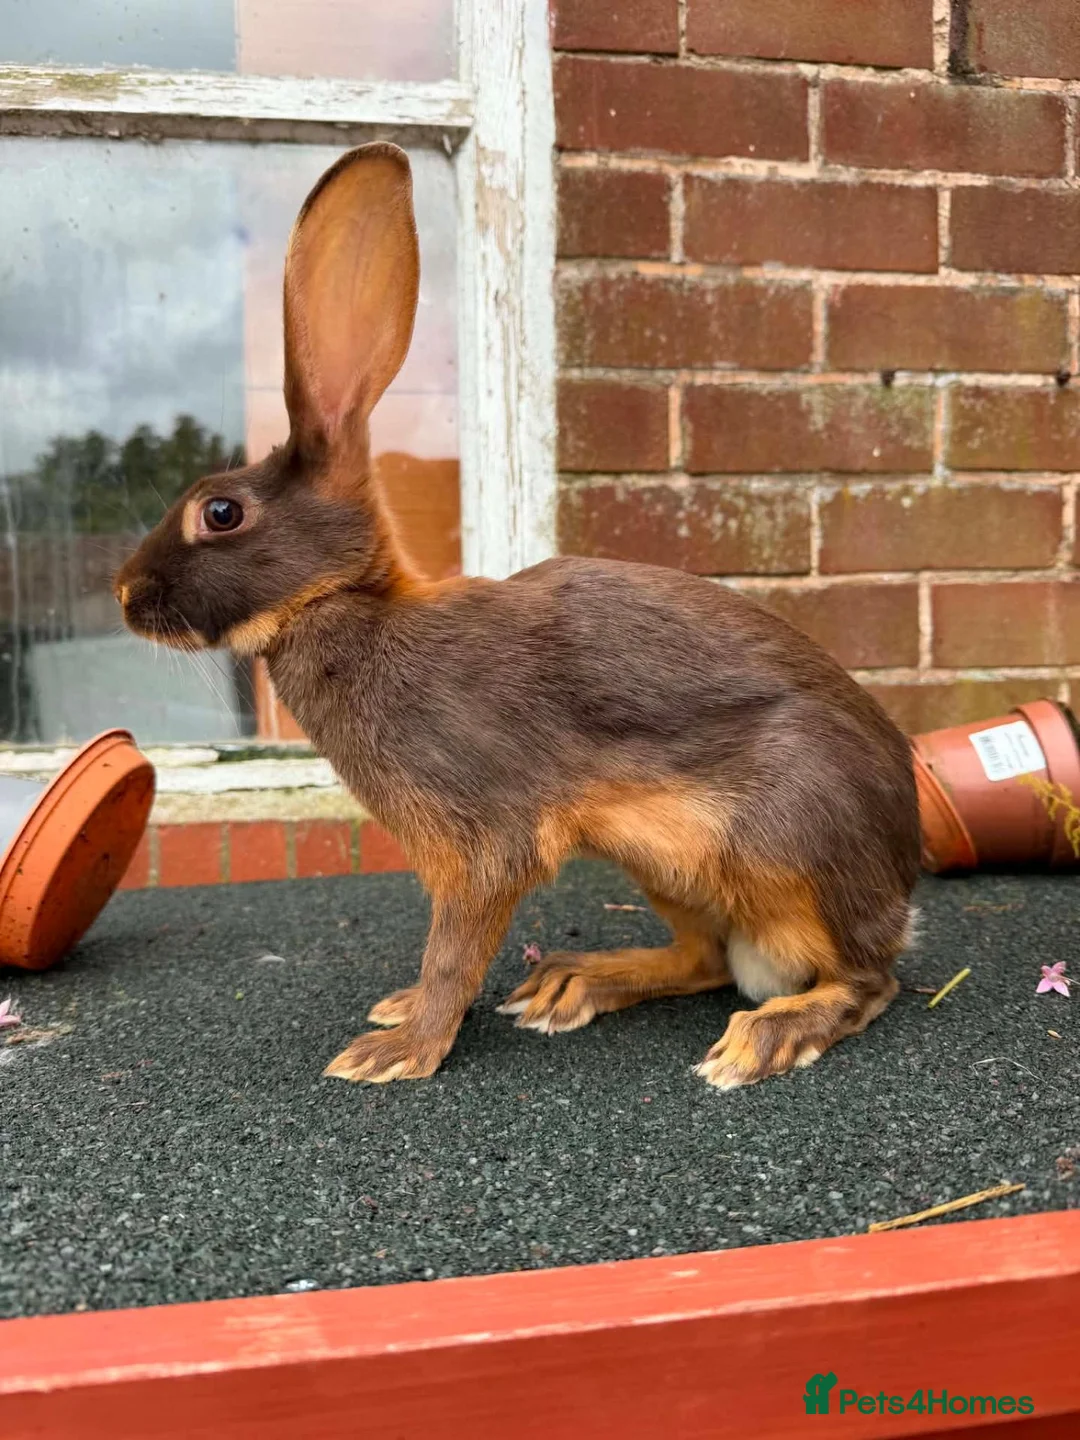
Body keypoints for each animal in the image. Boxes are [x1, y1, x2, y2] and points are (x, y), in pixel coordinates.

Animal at [115, 142, 921, 1090]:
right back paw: (575, 982)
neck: (347, 604)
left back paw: (767, 1036)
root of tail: (900, 885)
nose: (124, 594)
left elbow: (453, 952)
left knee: (865, 983)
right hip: (666, 864)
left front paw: (399, 1048)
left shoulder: (482, 844)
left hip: (786, 847)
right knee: (706, 961)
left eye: (220, 513)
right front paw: (401, 1014)